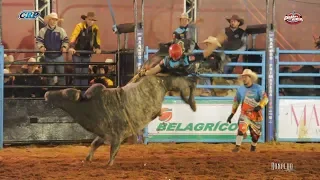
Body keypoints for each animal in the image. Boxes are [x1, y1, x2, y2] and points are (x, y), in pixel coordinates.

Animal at [44, 74, 199, 166]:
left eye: (64, 95)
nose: (47, 93)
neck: (91, 106)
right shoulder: (104, 135)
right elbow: (94, 144)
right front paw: (88, 159)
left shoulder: (116, 137)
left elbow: (113, 151)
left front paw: (108, 164)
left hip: (166, 84)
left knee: (183, 82)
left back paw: (192, 101)